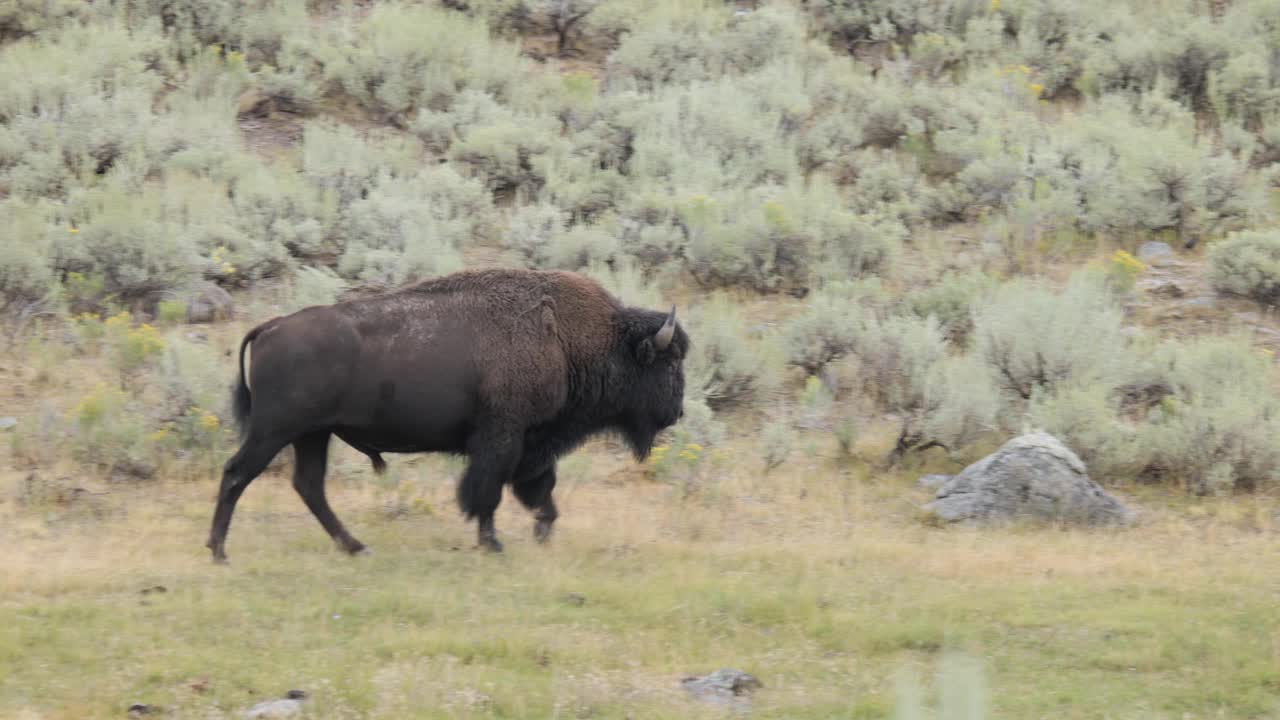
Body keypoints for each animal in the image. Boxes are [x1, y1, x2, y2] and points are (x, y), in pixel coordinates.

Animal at [203, 266, 691, 558]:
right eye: (669, 363)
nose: (678, 412)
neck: (569, 340)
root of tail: (271, 327)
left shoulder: (533, 442)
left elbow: (538, 487)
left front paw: (542, 530)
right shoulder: (502, 438)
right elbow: (488, 491)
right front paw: (494, 544)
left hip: (312, 435)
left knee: (309, 486)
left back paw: (356, 547)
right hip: (275, 430)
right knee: (237, 474)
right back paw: (219, 550)